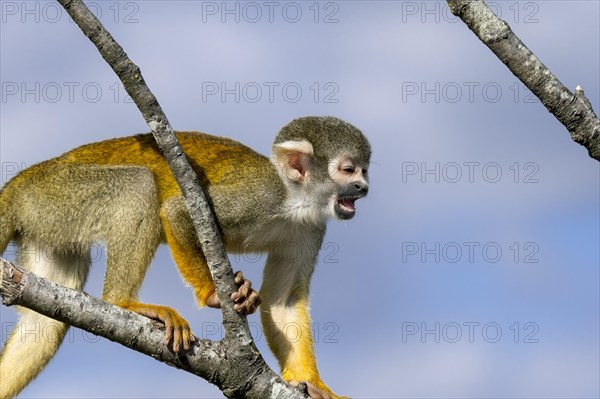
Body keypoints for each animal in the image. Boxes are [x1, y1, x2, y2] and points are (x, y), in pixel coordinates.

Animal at [0, 115, 368, 396]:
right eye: (348, 170)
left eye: (365, 170)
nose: (364, 187)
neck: (295, 201)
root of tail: (18, 185)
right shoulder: (261, 194)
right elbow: (177, 212)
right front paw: (213, 294)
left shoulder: (312, 227)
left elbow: (283, 301)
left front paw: (313, 384)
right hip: (55, 193)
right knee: (137, 184)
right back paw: (122, 302)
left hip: (46, 220)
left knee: (43, 325)